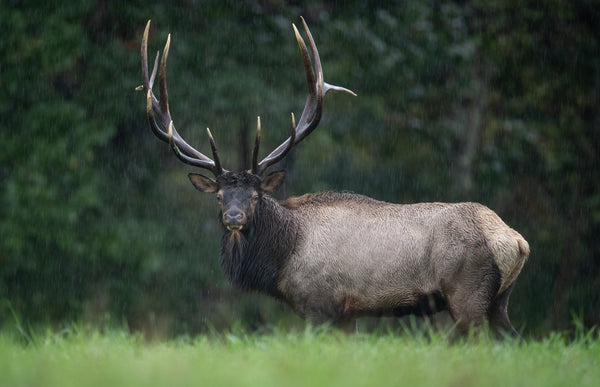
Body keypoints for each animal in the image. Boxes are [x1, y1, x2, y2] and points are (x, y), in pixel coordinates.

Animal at [137, 18, 528, 336]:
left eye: (255, 196)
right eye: (219, 196)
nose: (234, 217)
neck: (283, 257)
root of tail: (514, 241)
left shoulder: (320, 302)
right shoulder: (348, 312)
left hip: (467, 294)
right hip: (500, 301)